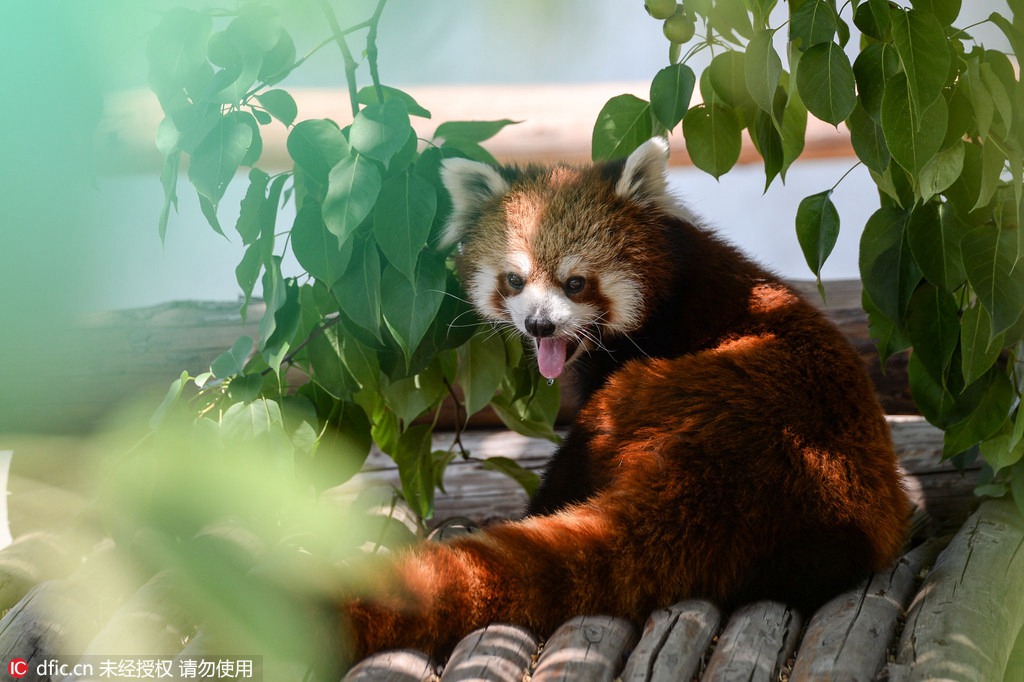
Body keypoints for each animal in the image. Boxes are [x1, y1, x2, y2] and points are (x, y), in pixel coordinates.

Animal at [339, 137, 909, 659]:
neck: (667, 291)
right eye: (514, 280)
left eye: (575, 283)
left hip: (654, 397)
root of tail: (721, 476)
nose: (539, 324)